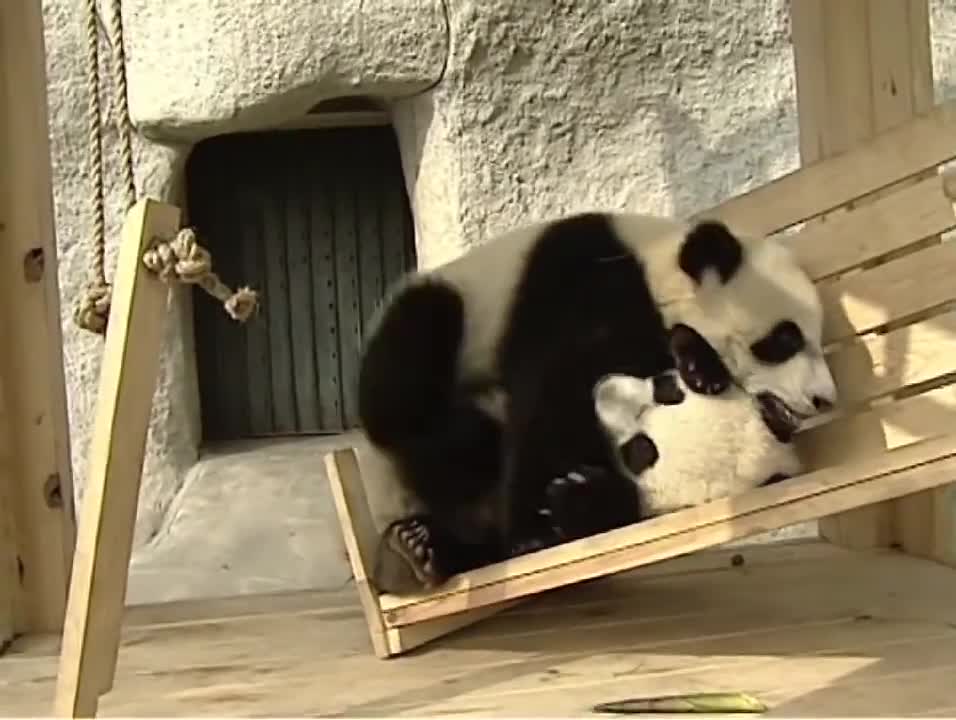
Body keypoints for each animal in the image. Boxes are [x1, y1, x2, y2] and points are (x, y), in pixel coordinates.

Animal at [358, 211, 836, 592]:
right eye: (784, 339)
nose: (824, 399)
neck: (654, 269)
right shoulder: (590, 290)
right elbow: (554, 391)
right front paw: (533, 530)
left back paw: (422, 550)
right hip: (449, 319)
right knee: (414, 361)